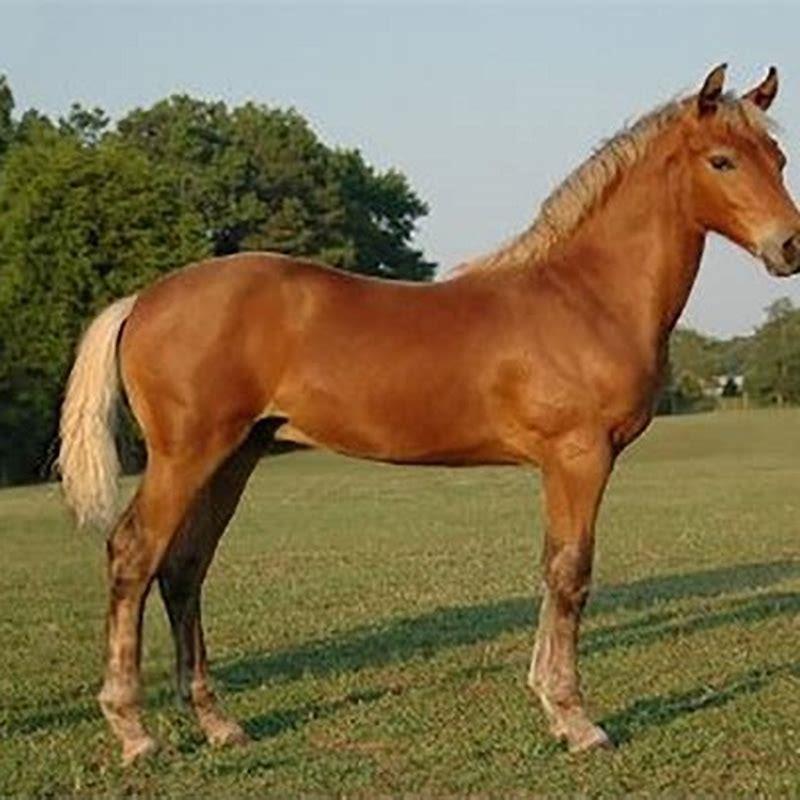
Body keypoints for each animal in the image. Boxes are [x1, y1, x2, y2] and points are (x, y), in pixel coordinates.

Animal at [58, 64, 800, 765]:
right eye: (722, 161)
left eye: (779, 158)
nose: (790, 246)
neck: (585, 295)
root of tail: (143, 299)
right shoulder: (578, 457)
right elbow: (570, 573)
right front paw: (575, 719)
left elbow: (552, 569)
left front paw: (551, 704)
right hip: (187, 455)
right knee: (134, 554)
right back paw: (134, 732)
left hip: (234, 456)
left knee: (184, 568)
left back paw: (218, 723)